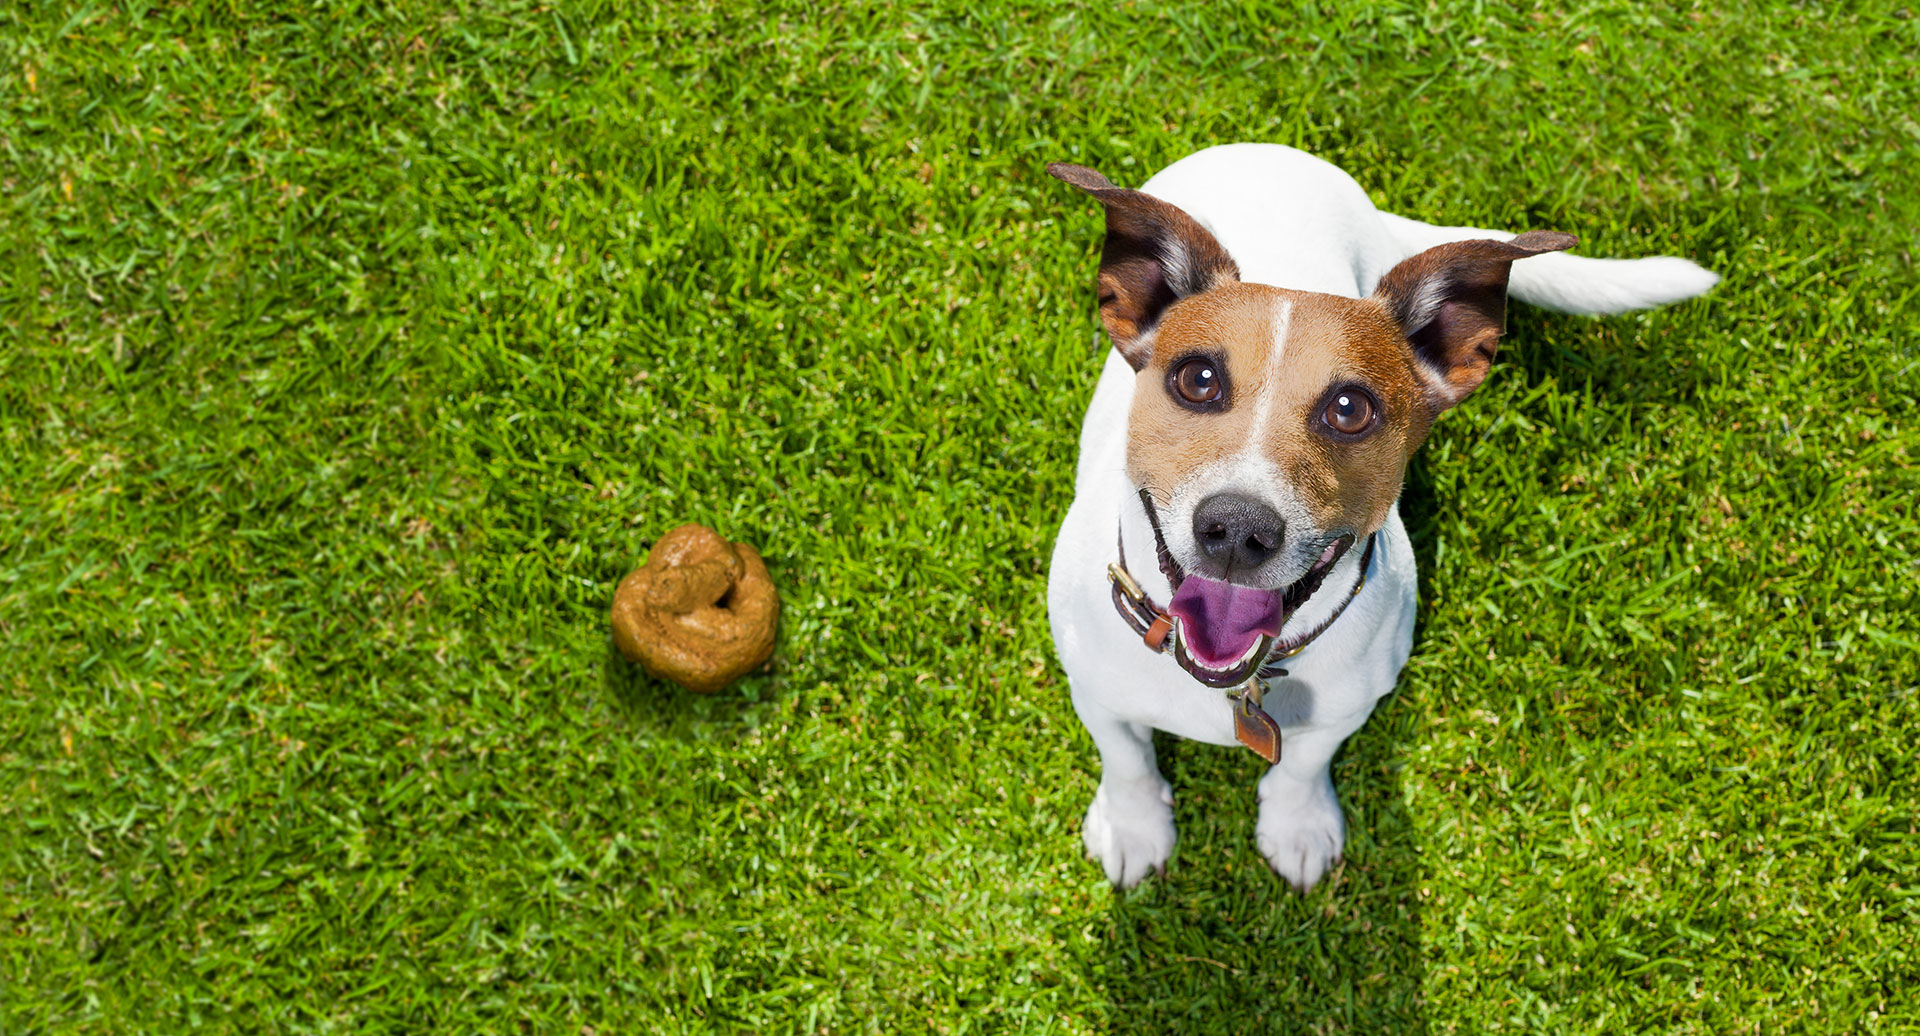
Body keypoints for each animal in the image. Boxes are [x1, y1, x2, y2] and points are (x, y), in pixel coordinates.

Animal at [1044, 145, 1720, 890]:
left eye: (1350, 409)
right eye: (1197, 379)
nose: (1237, 529)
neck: (1242, 680)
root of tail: (1274, 153)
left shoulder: (1347, 707)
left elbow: (1305, 764)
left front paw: (1297, 824)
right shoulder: (1093, 689)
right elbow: (1125, 756)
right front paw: (1134, 826)